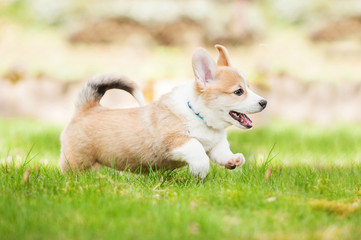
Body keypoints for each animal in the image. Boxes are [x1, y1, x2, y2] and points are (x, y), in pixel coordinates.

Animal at [59, 44, 264, 178]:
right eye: (238, 92)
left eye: (248, 87)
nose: (264, 102)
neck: (199, 116)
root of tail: (87, 107)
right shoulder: (173, 141)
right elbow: (196, 148)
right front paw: (199, 171)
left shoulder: (215, 146)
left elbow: (222, 152)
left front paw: (233, 160)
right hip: (77, 160)